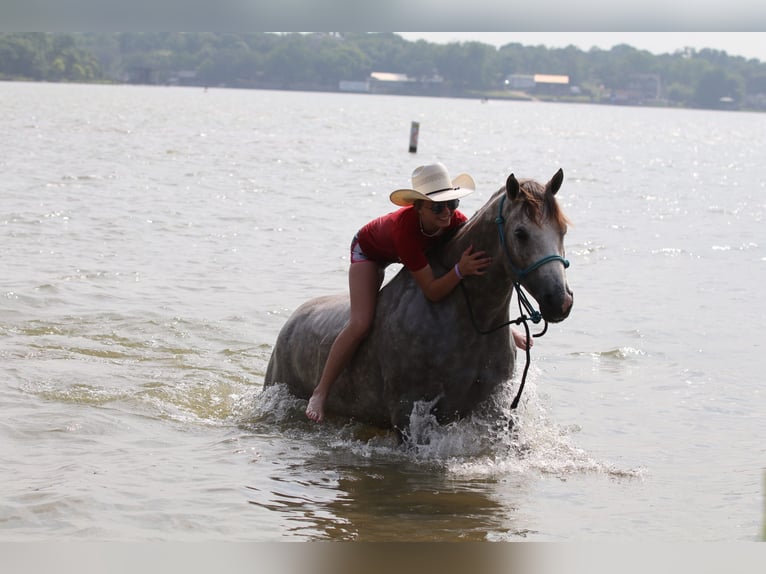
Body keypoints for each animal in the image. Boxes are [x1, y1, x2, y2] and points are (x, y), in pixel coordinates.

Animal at [268, 170, 572, 432]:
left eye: (563, 230)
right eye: (520, 233)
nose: (560, 301)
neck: (468, 318)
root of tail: (290, 323)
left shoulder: (492, 406)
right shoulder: (407, 412)